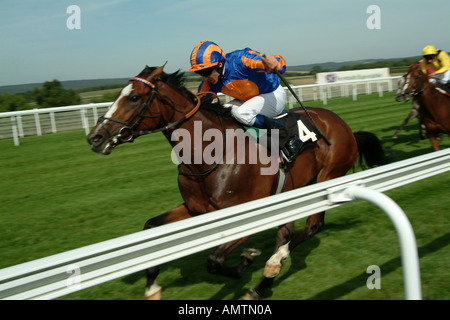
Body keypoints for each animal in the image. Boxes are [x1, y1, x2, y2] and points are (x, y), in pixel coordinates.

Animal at [86, 63, 388, 298]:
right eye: (119, 94)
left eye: (135, 97)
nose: (95, 137)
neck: (210, 154)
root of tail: (343, 124)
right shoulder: (195, 209)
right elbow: (150, 227)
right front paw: (152, 288)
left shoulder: (246, 215)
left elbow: (214, 261)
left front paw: (247, 259)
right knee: (288, 232)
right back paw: (265, 279)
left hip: (328, 178)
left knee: (311, 227)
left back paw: (274, 263)